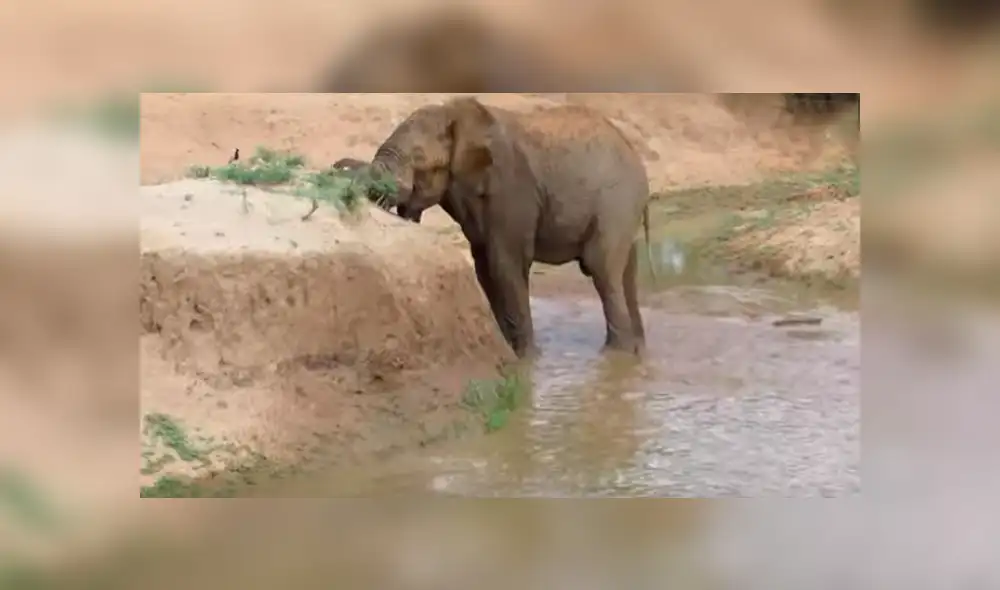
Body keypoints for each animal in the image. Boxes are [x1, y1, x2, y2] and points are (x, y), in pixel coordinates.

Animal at [370, 97, 655, 358]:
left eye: (418, 157)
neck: (451, 112)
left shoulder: (512, 188)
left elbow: (505, 264)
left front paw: (527, 359)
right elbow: (485, 269)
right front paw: (511, 352)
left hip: (616, 202)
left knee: (602, 270)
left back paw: (615, 355)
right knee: (626, 275)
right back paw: (636, 351)